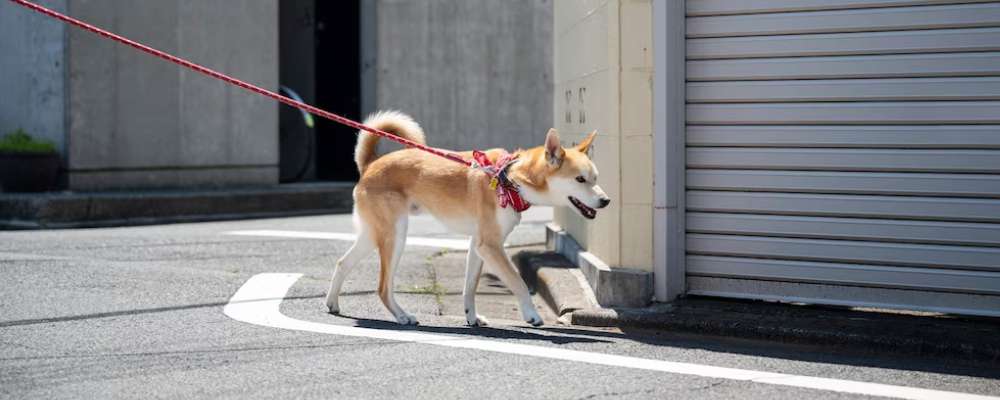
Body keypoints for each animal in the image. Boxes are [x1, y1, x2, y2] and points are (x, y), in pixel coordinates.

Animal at [328, 111, 608, 326]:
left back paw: (332, 303)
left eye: (595, 178)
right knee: (382, 286)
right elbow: (517, 281)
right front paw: (531, 314)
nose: (606, 201)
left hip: (375, 234)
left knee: (342, 262)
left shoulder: (478, 244)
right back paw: (402, 316)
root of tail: (370, 165)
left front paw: (471, 317)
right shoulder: (491, 245)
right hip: (395, 236)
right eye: (580, 179)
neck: (511, 178)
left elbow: (470, 287)